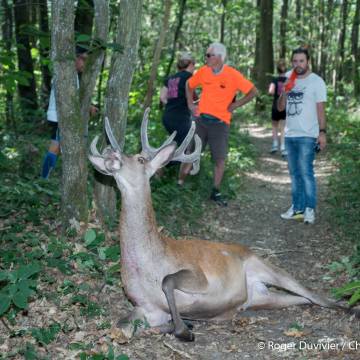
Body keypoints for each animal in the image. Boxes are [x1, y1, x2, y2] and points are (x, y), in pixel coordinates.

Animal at [88, 108, 342, 342]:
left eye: (140, 159)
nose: (111, 153)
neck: (148, 265)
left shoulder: (198, 275)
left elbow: (167, 281)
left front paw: (184, 329)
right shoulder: (147, 307)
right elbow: (119, 326)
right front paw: (180, 325)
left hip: (265, 264)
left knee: (316, 296)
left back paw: (346, 305)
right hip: (265, 298)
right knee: (305, 299)